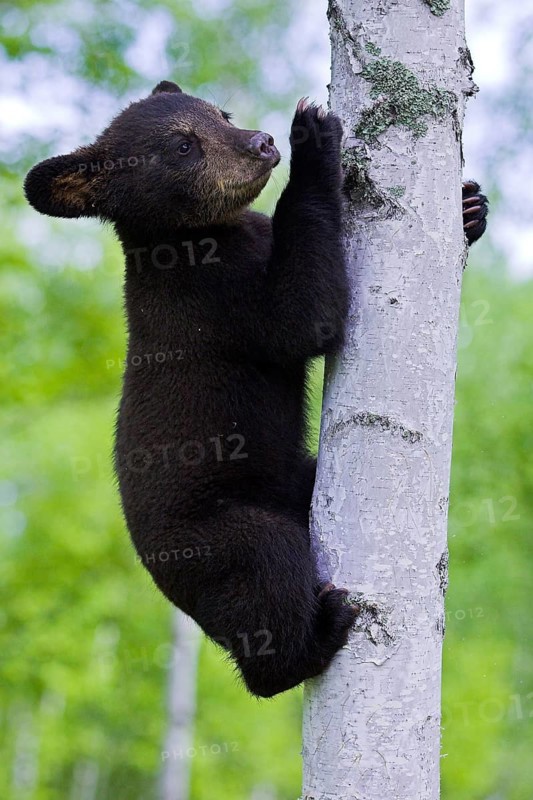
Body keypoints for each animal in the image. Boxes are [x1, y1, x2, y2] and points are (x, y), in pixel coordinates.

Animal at [24, 80, 489, 697]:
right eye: (182, 145)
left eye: (219, 113)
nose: (261, 141)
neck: (202, 237)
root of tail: (164, 583)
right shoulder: (214, 298)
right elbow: (300, 316)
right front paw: (312, 136)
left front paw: (471, 208)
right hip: (223, 540)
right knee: (267, 588)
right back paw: (320, 631)